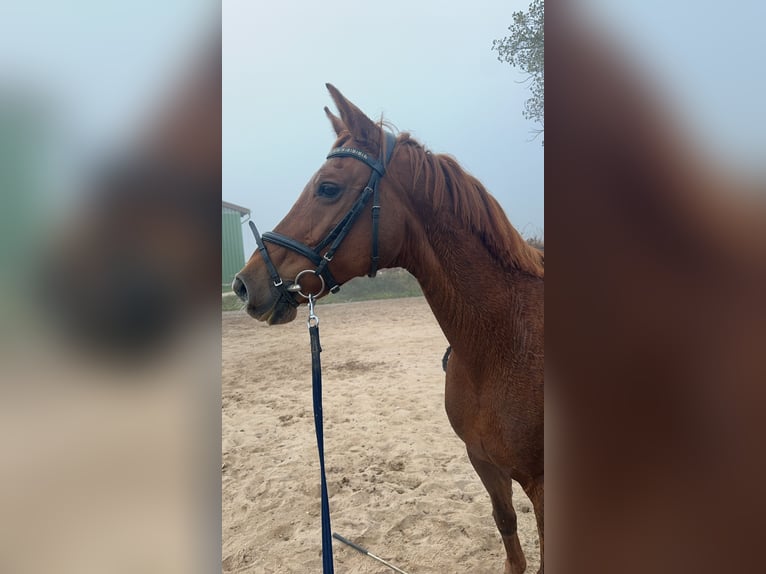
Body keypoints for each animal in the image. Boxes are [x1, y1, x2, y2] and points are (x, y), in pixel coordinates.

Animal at [234, 86, 544, 574]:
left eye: (328, 188)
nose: (244, 284)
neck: (502, 345)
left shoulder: (543, 485)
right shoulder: (484, 463)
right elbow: (509, 535)